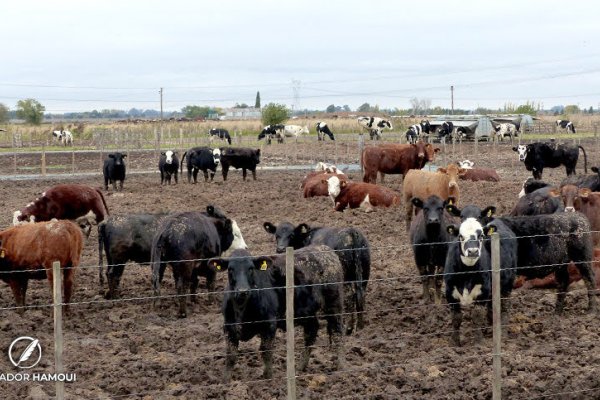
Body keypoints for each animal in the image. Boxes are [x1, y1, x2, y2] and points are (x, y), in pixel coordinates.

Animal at [211, 245, 344, 382]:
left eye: (251, 268)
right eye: (230, 269)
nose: (243, 291)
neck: (242, 309)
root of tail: (324, 248)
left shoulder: (269, 324)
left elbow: (266, 351)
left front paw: (268, 378)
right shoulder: (228, 327)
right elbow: (231, 355)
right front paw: (226, 381)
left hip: (334, 304)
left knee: (337, 333)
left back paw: (339, 366)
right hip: (308, 312)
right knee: (311, 332)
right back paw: (301, 367)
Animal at [442, 217, 516, 346]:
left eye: (481, 235)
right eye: (461, 236)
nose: (473, 251)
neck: (466, 273)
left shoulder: (483, 291)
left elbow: (477, 316)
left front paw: (478, 341)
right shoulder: (450, 291)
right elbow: (456, 318)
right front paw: (454, 342)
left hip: (508, 283)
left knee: (505, 306)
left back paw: (503, 333)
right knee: (492, 308)